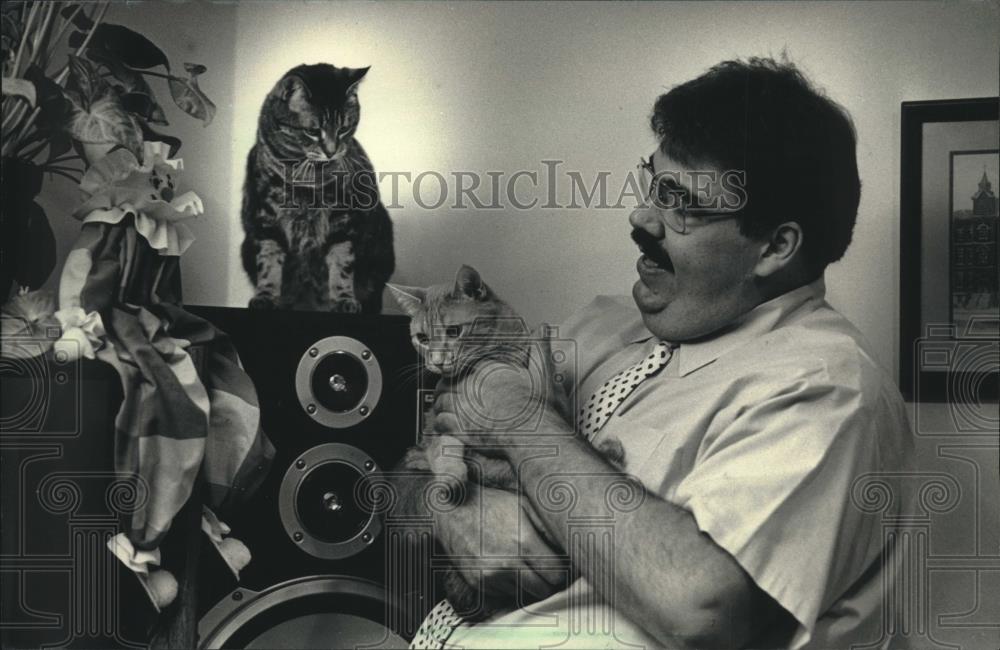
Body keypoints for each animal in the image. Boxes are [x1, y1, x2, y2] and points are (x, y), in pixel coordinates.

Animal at [241, 63, 394, 312]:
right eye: (313, 131)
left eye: (344, 128)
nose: (331, 151)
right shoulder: (265, 217)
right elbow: (269, 262)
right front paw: (265, 295)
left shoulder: (343, 218)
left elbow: (341, 263)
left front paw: (343, 299)